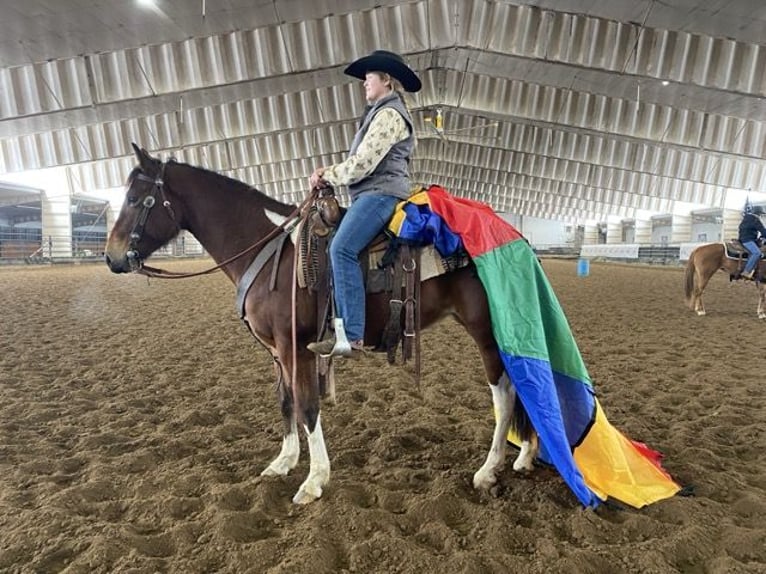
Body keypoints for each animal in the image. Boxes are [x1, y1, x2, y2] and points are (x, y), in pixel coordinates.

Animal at [105, 146, 540, 506]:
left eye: (135, 199)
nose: (111, 257)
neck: (270, 251)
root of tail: (514, 236)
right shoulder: (276, 351)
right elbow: (285, 400)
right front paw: (283, 462)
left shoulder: (295, 346)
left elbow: (307, 405)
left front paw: (314, 480)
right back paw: (526, 456)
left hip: (487, 333)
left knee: (505, 394)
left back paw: (488, 470)